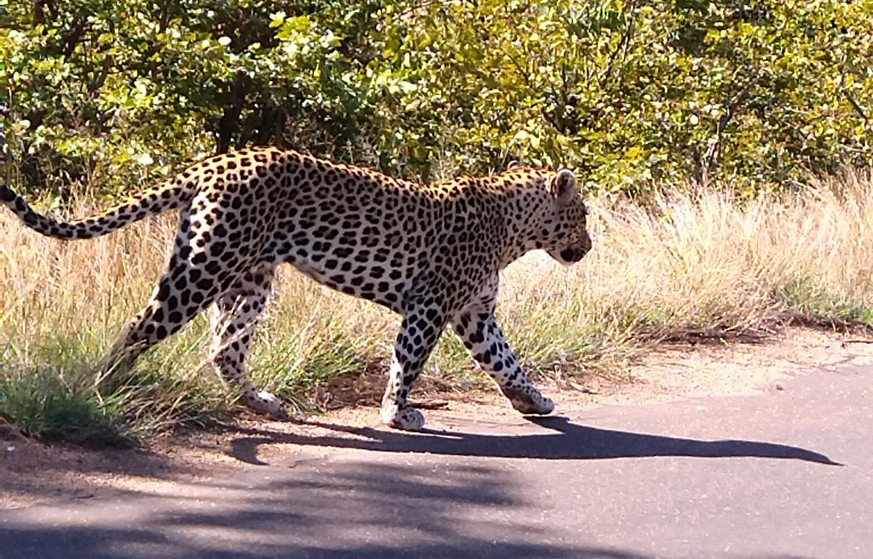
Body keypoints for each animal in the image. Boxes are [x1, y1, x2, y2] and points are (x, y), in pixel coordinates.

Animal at [1, 147, 592, 430]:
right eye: (583, 215)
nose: (587, 247)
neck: (514, 228)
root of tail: (215, 162)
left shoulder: (475, 313)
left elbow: (507, 361)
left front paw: (534, 400)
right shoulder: (430, 306)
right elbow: (408, 362)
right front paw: (397, 414)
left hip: (249, 278)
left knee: (225, 348)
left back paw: (262, 402)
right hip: (203, 266)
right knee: (141, 327)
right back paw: (108, 387)